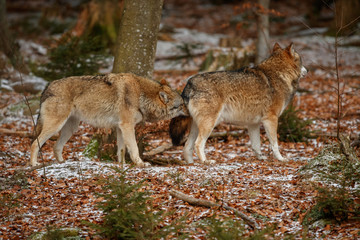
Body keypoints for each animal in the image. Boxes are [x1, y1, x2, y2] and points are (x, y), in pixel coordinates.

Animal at [30, 72, 186, 167]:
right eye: (181, 105)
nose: (189, 109)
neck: (141, 95)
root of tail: (47, 86)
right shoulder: (127, 126)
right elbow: (134, 148)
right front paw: (140, 164)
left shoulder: (120, 128)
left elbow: (121, 150)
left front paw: (122, 166)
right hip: (55, 126)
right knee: (34, 143)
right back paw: (34, 164)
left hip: (70, 128)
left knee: (56, 146)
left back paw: (62, 163)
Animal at [170, 42, 308, 164]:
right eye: (301, 60)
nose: (307, 71)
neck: (280, 75)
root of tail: (189, 83)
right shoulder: (271, 119)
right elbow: (275, 144)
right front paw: (281, 159)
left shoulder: (253, 124)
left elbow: (256, 146)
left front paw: (260, 158)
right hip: (209, 124)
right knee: (198, 144)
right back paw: (206, 161)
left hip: (196, 126)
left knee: (187, 146)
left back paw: (191, 164)